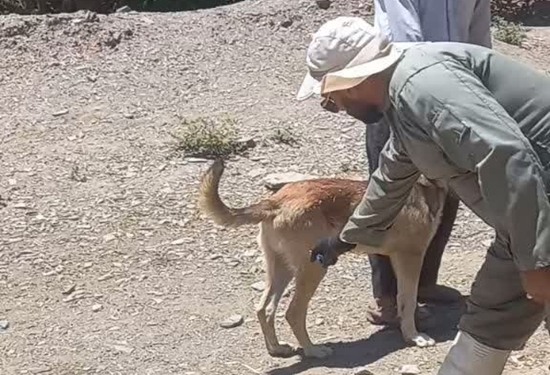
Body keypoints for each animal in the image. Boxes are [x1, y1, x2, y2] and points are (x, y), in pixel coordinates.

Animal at [198, 160, 448, 360]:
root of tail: (276, 201)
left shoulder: (397, 258)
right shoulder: (410, 257)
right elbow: (407, 300)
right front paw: (414, 336)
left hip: (281, 268)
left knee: (264, 308)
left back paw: (277, 348)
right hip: (314, 268)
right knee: (293, 312)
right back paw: (313, 350)